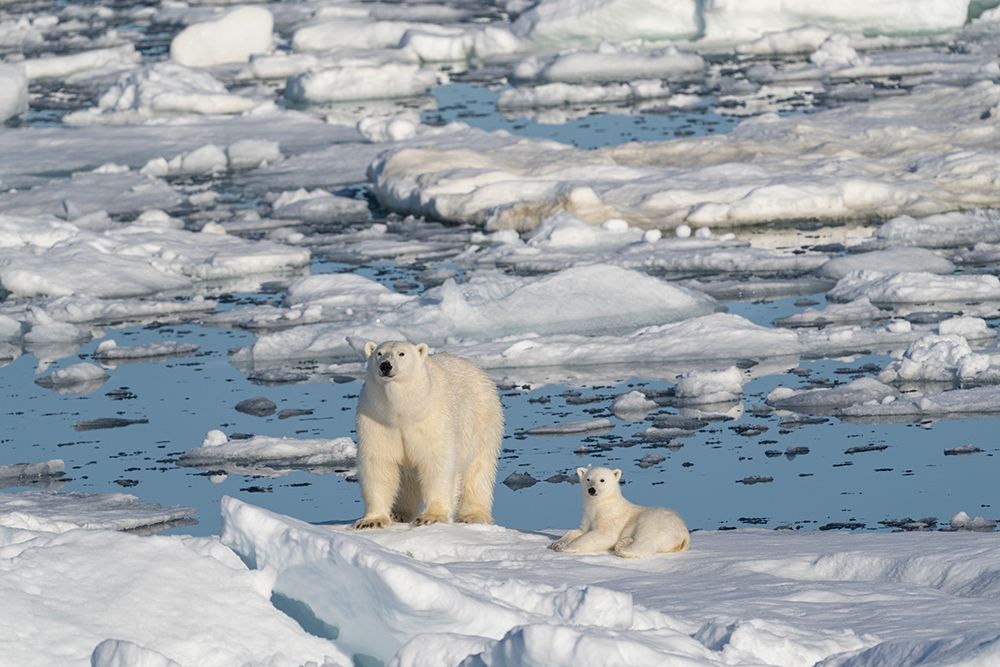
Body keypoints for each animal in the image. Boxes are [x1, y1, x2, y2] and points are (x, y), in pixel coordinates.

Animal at [353, 340, 504, 529]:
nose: (385, 366)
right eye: (379, 353)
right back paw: (399, 513)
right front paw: (372, 520)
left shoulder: (432, 419)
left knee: (478, 471)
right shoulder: (376, 421)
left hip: (483, 422)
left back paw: (473, 515)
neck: (402, 412)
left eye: (402, 353)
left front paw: (431, 517)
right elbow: (378, 463)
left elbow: (436, 462)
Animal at [549, 466, 689, 558]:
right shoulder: (587, 515)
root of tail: (685, 534)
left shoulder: (610, 516)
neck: (600, 505)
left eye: (602, 480)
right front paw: (557, 543)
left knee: (646, 539)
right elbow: (579, 531)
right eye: (588, 479)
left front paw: (566, 547)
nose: (591, 490)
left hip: (655, 520)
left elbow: (604, 535)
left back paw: (622, 547)